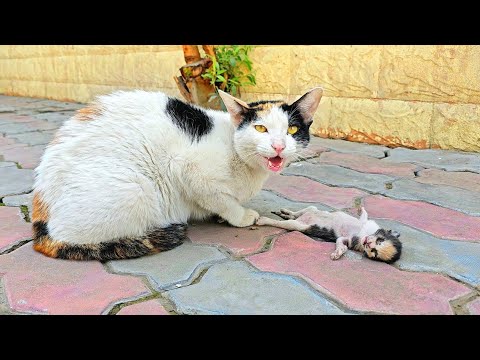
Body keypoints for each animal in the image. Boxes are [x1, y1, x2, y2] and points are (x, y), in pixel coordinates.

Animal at [31, 87, 322, 262]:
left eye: (292, 130)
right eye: (261, 129)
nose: (279, 146)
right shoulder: (188, 169)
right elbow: (222, 200)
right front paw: (239, 216)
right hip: (137, 190)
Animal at [256, 207, 404, 262]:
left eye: (374, 252)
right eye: (380, 240)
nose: (368, 243)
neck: (363, 234)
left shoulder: (350, 240)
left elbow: (341, 243)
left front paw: (338, 252)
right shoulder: (367, 224)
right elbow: (364, 216)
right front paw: (361, 208)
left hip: (301, 225)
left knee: (289, 222)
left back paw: (265, 219)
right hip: (311, 209)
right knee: (302, 211)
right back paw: (285, 211)